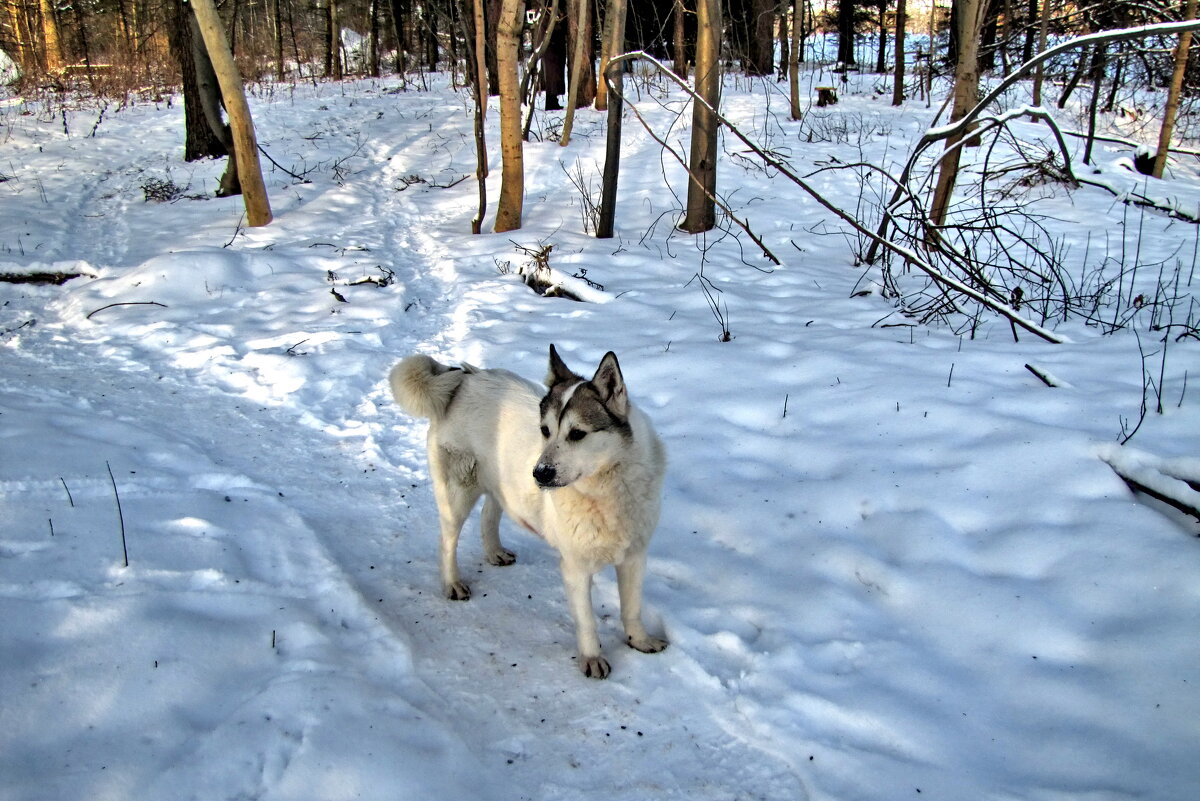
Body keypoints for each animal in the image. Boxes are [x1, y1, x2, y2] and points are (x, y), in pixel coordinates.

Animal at [393, 345, 672, 676]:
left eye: (577, 434)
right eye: (545, 431)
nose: (540, 474)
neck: (608, 489)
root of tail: (463, 377)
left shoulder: (634, 558)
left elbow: (632, 608)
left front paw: (639, 641)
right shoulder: (575, 568)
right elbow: (587, 622)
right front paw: (591, 658)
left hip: (502, 484)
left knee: (489, 514)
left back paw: (494, 552)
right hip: (456, 494)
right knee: (447, 541)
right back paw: (452, 584)